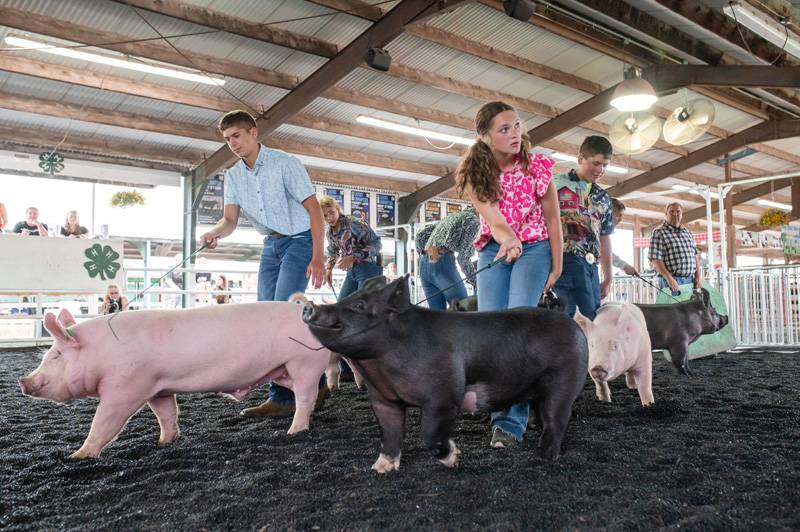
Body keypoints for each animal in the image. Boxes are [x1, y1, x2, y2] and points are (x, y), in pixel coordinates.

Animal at [18, 304, 338, 458]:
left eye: (56, 355)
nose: (23, 381)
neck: (101, 353)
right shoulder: (157, 388)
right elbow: (166, 414)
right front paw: (165, 442)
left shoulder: (126, 387)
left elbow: (104, 423)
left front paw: (77, 456)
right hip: (284, 370)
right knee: (308, 393)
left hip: (302, 362)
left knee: (305, 396)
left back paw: (294, 432)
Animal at [300, 276, 588, 472]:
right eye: (347, 297)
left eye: (360, 305)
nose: (310, 306)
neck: (381, 365)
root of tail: (568, 320)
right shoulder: (383, 399)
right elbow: (389, 432)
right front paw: (380, 469)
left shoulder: (444, 395)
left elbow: (430, 435)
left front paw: (454, 458)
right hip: (537, 392)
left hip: (564, 381)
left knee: (556, 420)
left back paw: (543, 457)